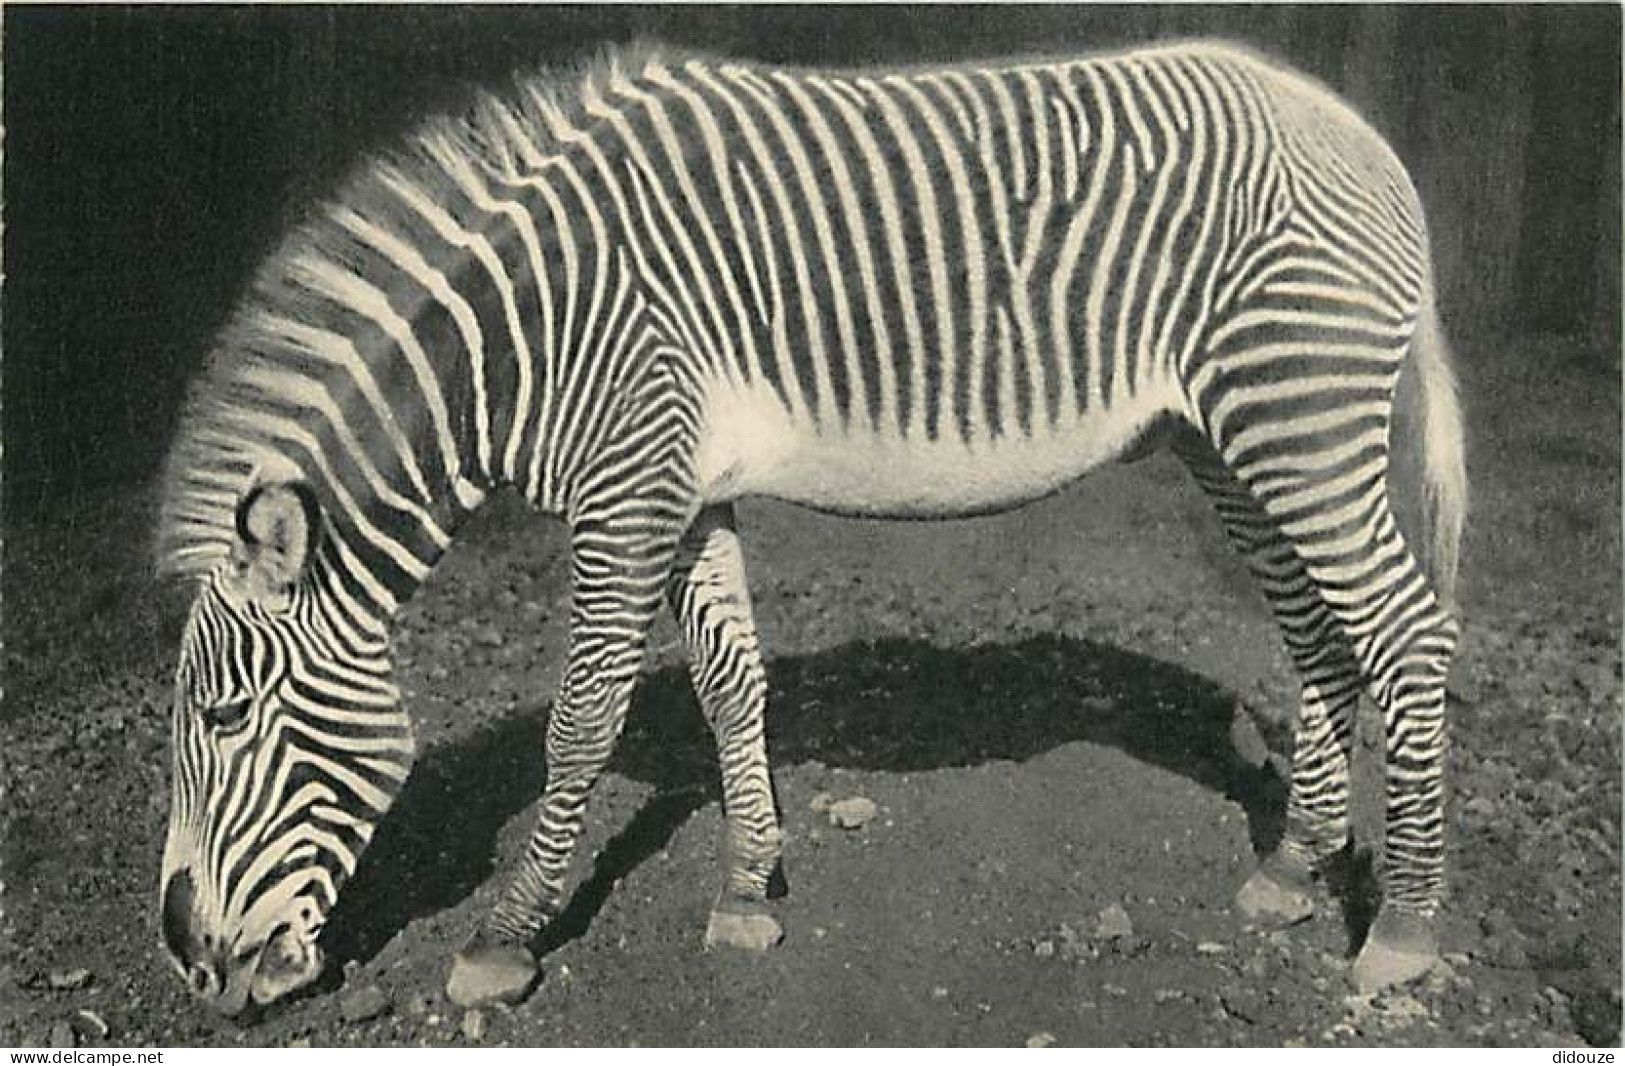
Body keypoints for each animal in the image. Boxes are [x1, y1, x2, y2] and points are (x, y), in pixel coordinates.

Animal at [158, 39, 1469, 1014]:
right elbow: (729, 682)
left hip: (1295, 416)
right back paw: (1292, 865)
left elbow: (581, 724)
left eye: (222, 716)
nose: (192, 969)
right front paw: (748, 888)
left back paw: (1403, 926)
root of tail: (1358, 133)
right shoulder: (684, 487)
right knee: (1315, 630)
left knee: (1405, 633)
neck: (526, 335)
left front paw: (504, 937)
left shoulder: (625, 486)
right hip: (1231, 436)